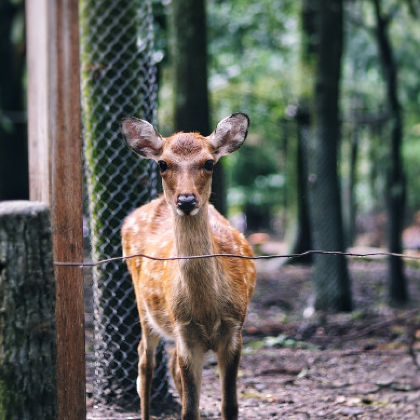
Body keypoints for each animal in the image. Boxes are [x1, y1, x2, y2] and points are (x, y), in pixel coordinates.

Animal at [120, 113, 256, 420]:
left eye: (209, 162)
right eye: (162, 163)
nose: (185, 199)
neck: (207, 311)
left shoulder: (234, 330)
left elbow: (230, 406)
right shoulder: (185, 334)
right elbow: (188, 410)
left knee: (166, 363)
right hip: (144, 305)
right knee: (145, 361)